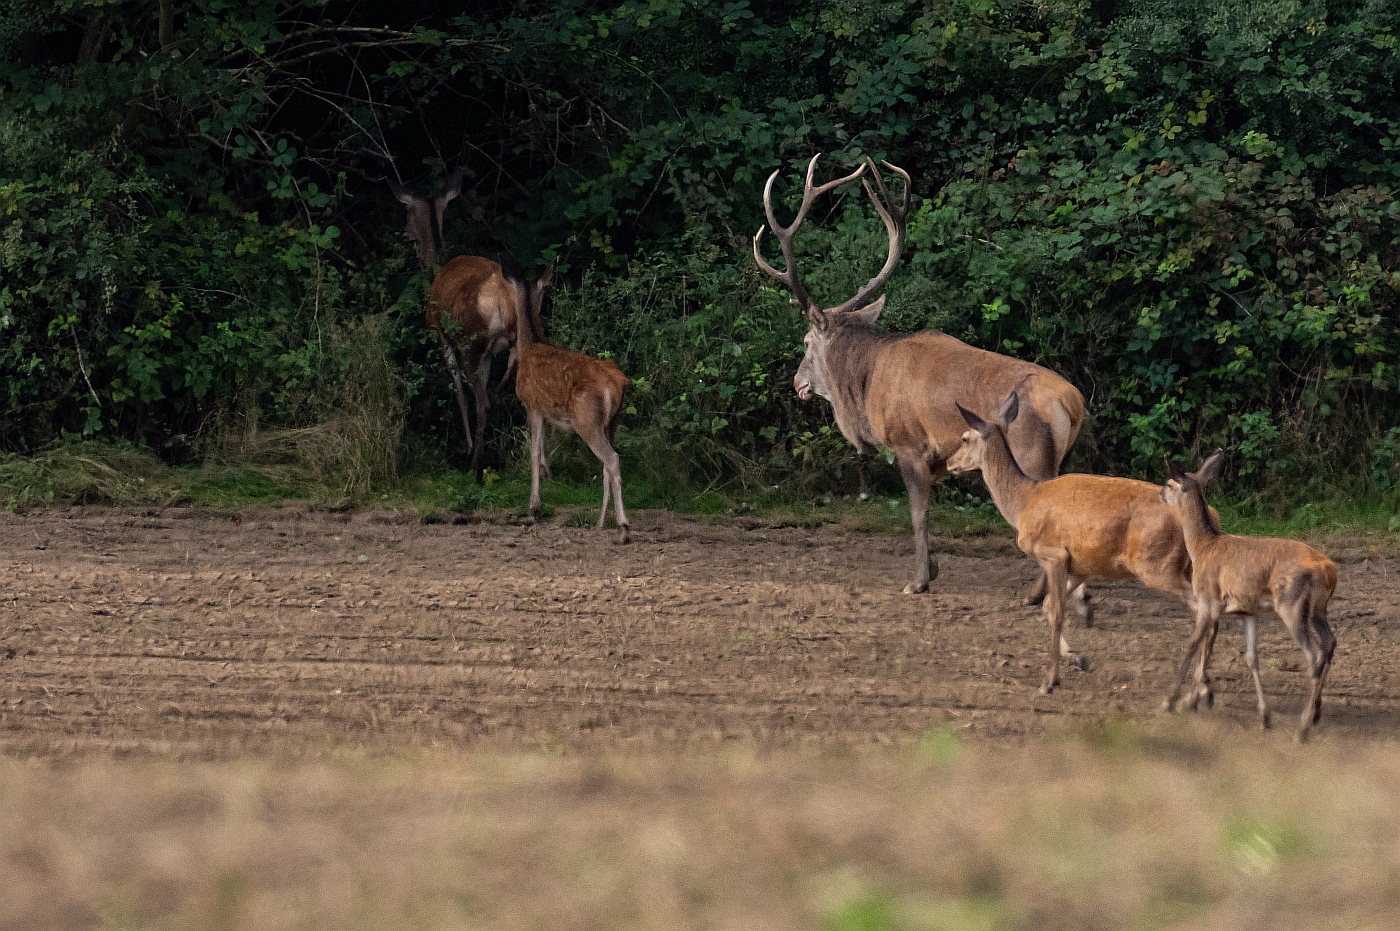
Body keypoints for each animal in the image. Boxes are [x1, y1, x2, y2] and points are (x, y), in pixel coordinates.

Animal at [761, 151, 1086, 588]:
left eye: (807, 342)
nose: (798, 382)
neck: (864, 388)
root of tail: (1072, 404)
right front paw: (931, 568)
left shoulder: (908, 443)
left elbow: (918, 514)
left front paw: (918, 580)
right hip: (1062, 458)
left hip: (1032, 454)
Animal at [1153, 450, 1338, 739]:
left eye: (1170, 483)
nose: (1159, 493)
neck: (1201, 547)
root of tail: (1329, 570)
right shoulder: (1247, 610)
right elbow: (1251, 657)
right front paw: (1264, 717)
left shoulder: (1208, 599)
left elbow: (1193, 644)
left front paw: (1171, 701)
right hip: (1318, 609)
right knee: (1330, 643)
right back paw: (1315, 714)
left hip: (1292, 604)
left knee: (1314, 654)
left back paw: (1303, 727)